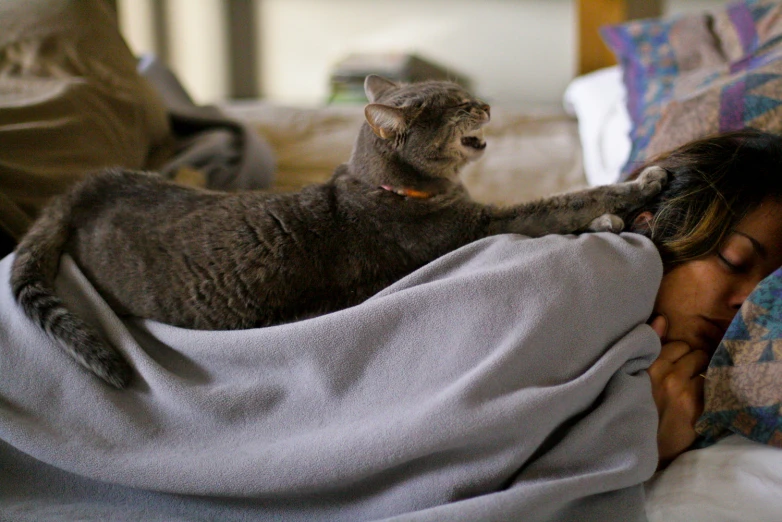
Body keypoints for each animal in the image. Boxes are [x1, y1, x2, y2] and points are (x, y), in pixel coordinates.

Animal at [10, 75, 668, 388]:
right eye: (458, 105)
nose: (484, 102)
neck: (392, 188)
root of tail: (88, 186)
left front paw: (610, 220)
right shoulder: (477, 226)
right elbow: (560, 203)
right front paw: (639, 186)